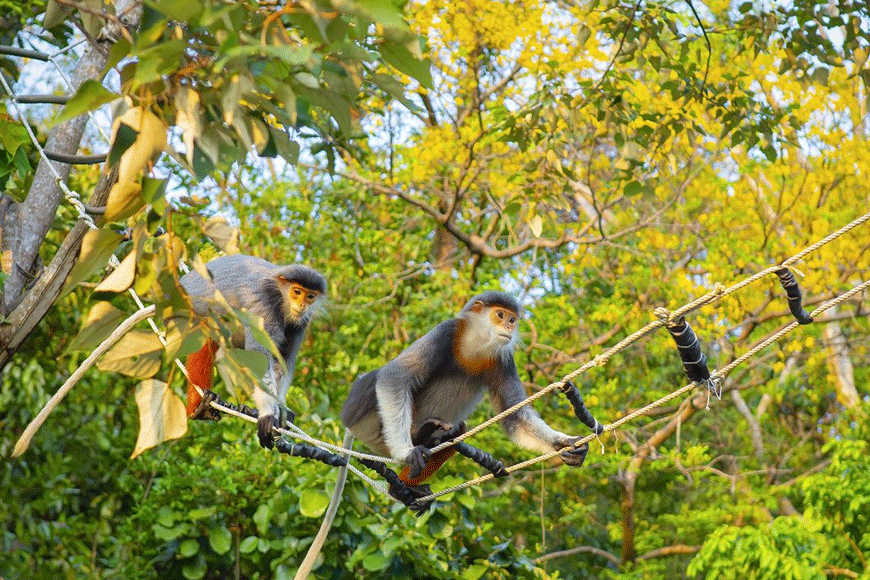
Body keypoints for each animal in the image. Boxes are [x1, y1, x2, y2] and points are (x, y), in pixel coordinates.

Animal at [181, 254, 328, 448]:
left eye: (310, 296)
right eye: (297, 292)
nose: (303, 304)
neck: (280, 296)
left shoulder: (301, 322)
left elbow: (282, 362)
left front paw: (281, 410)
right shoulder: (264, 308)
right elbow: (260, 356)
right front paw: (267, 413)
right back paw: (200, 406)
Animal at [340, 292, 592, 506]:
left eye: (512, 319)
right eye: (500, 315)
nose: (509, 326)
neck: (474, 346)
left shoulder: (503, 359)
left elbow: (515, 416)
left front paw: (564, 443)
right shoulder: (446, 331)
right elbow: (395, 376)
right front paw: (406, 451)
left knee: (455, 431)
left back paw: (409, 473)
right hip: (369, 424)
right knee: (376, 380)